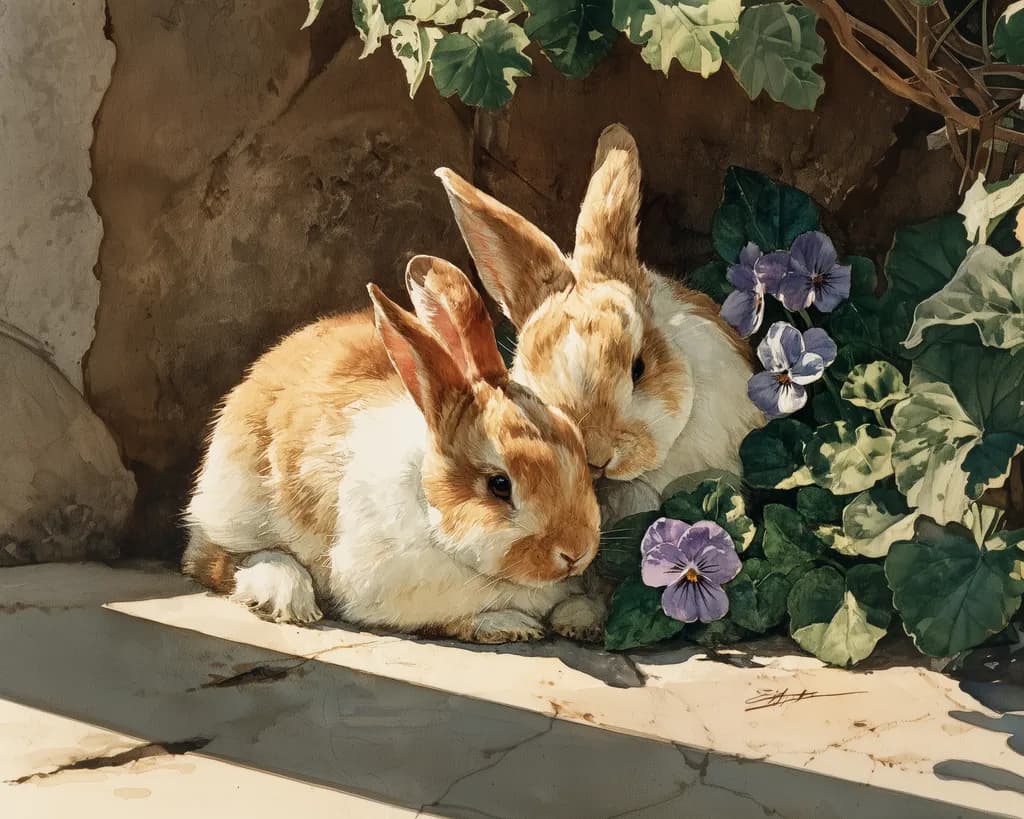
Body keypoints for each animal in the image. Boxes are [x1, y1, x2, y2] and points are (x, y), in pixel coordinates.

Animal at [181, 255, 606, 644]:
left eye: (577, 449)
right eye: (500, 485)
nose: (575, 553)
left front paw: (580, 621)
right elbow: (449, 619)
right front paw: (509, 625)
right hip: (237, 506)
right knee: (214, 559)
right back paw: (287, 596)